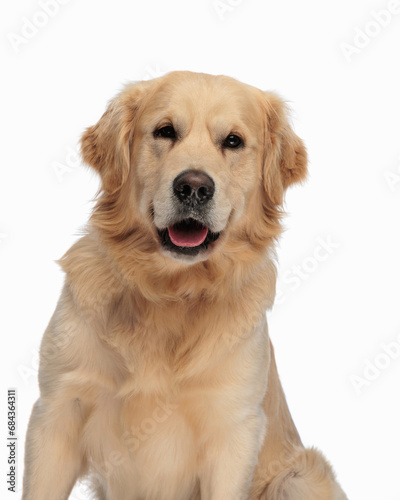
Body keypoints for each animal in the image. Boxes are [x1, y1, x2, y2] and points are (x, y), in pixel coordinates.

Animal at [22, 71, 346, 500]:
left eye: (233, 141)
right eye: (165, 131)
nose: (193, 187)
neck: (171, 292)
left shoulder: (233, 431)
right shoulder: (57, 412)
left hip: (301, 476)